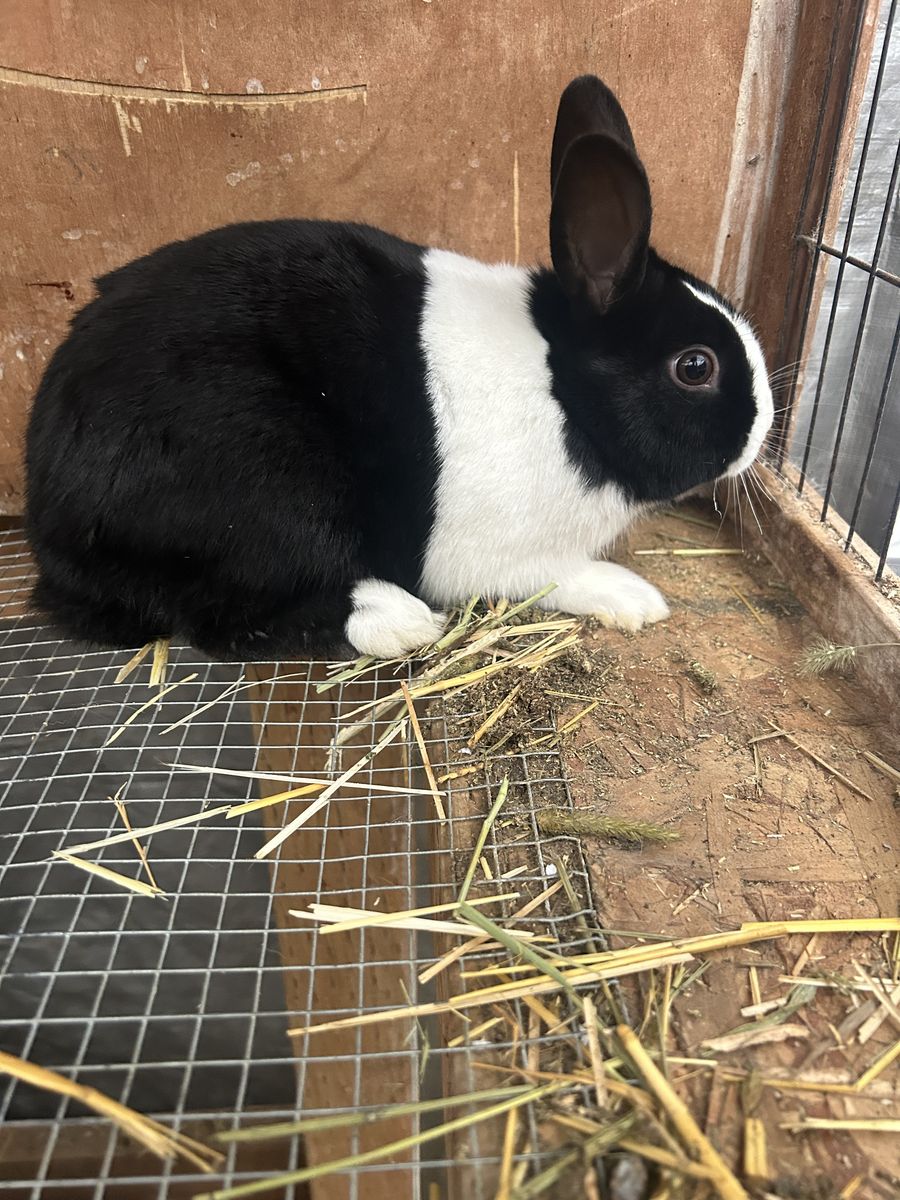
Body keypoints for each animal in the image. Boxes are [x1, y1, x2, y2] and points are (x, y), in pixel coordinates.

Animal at [25, 74, 773, 662]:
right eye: (695, 366)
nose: (764, 430)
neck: (565, 396)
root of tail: (50, 520)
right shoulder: (506, 556)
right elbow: (560, 576)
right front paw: (634, 598)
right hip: (268, 481)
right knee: (229, 615)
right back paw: (399, 619)